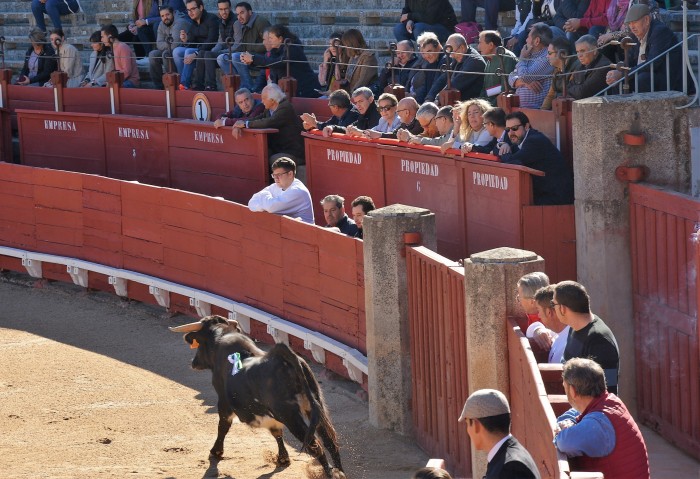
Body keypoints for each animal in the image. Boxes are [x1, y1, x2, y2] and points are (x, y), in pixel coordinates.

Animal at [170, 316, 344, 478]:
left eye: (199, 343)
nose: (194, 362)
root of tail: (285, 358)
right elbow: (276, 432)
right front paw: (283, 458)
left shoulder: (224, 402)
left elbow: (223, 426)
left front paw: (216, 451)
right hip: (314, 407)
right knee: (330, 442)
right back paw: (340, 472)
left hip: (290, 415)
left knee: (316, 447)